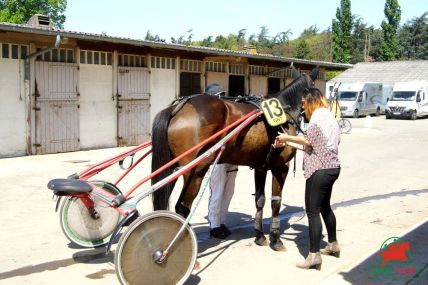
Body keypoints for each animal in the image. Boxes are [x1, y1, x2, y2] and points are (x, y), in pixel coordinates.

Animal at [152, 67, 316, 250]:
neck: (284, 112)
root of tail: (178, 108)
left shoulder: (261, 167)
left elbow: (260, 200)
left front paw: (259, 235)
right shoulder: (280, 167)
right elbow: (276, 202)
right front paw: (276, 238)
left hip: (171, 170)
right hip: (194, 173)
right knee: (182, 208)